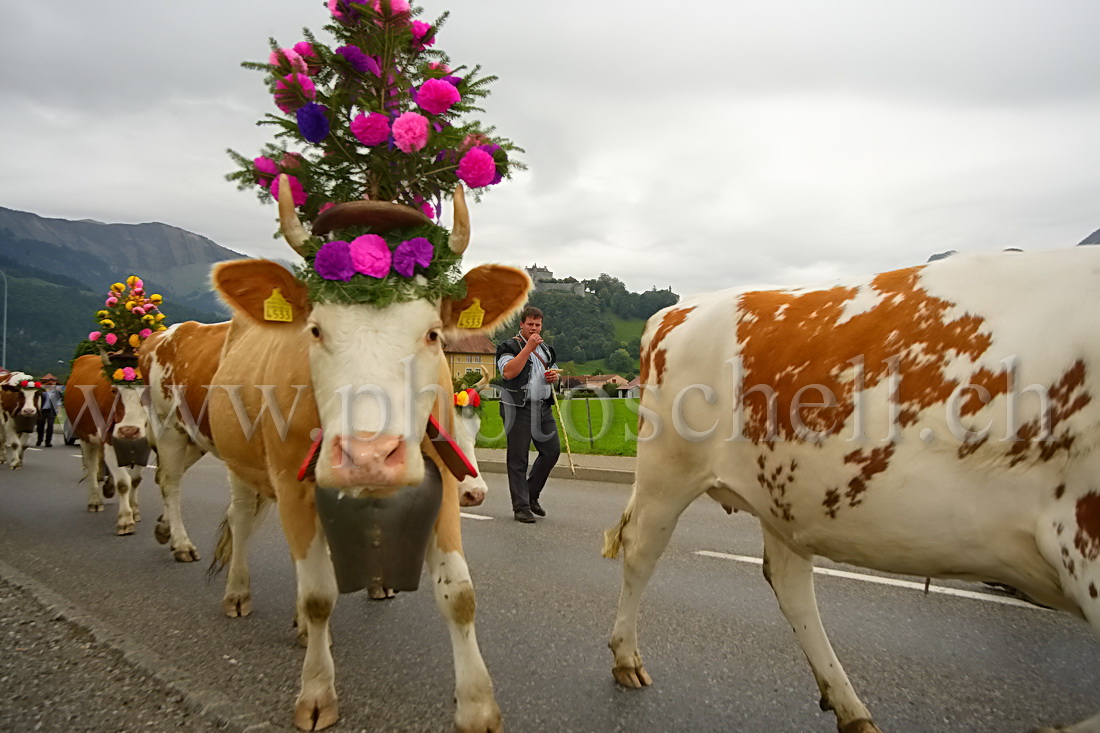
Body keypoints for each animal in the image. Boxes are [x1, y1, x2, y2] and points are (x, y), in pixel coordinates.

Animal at [64, 352, 151, 534]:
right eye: (114, 390)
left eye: (147, 391)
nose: (128, 430)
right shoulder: (109, 439)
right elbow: (123, 482)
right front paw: (125, 520)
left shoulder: (145, 443)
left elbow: (135, 479)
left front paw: (134, 510)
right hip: (86, 437)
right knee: (91, 467)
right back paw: (95, 501)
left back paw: (109, 488)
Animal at [151, 173, 528, 726]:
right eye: (315, 329)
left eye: (432, 333)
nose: (368, 455)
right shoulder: (293, 485)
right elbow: (318, 596)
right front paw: (316, 693)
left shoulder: (441, 479)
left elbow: (459, 596)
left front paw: (478, 707)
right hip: (198, 441)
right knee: (221, 510)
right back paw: (226, 582)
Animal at [607, 245, 1100, 730]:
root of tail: (682, 308)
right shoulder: (1082, 537)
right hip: (668, 470)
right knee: (640, 549)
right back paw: (626, 658)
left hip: (778, 491)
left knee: (789, 583)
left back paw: (849, 707)